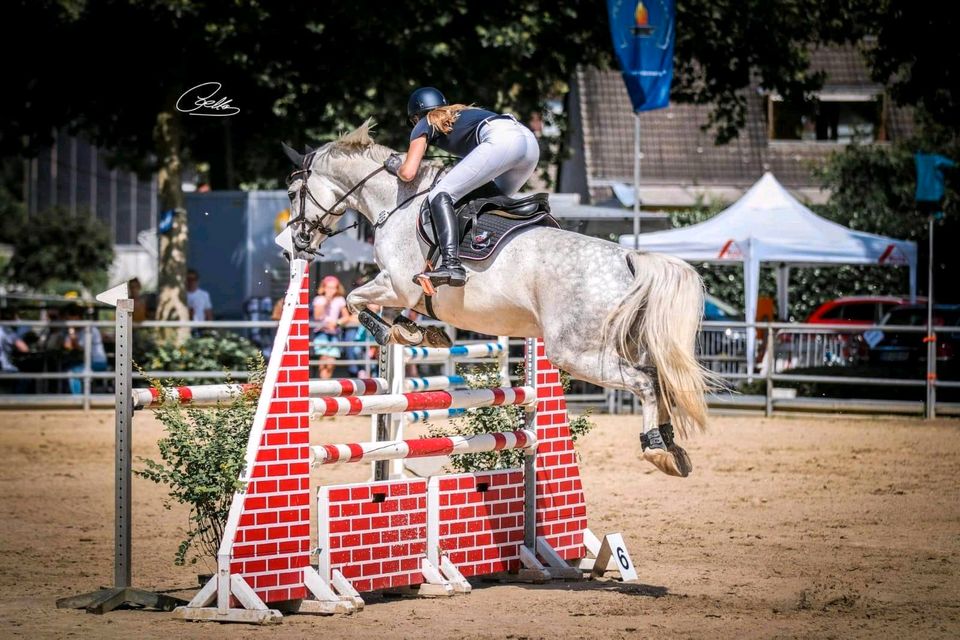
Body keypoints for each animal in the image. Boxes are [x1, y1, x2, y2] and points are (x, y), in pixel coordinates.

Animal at [282, 122, 708, 478]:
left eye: (291, 193)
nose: (294, 245)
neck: (396, 201)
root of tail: (629, 259)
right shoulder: (409, 291)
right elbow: (392, 309)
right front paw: (416, 332)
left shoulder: (397, 283)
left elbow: (354, 300)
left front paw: (396, 334)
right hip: (625, 343)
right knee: (657, 376)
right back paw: (674, 447)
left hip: (576, 352)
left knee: (645, 383)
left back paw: (658, 451)